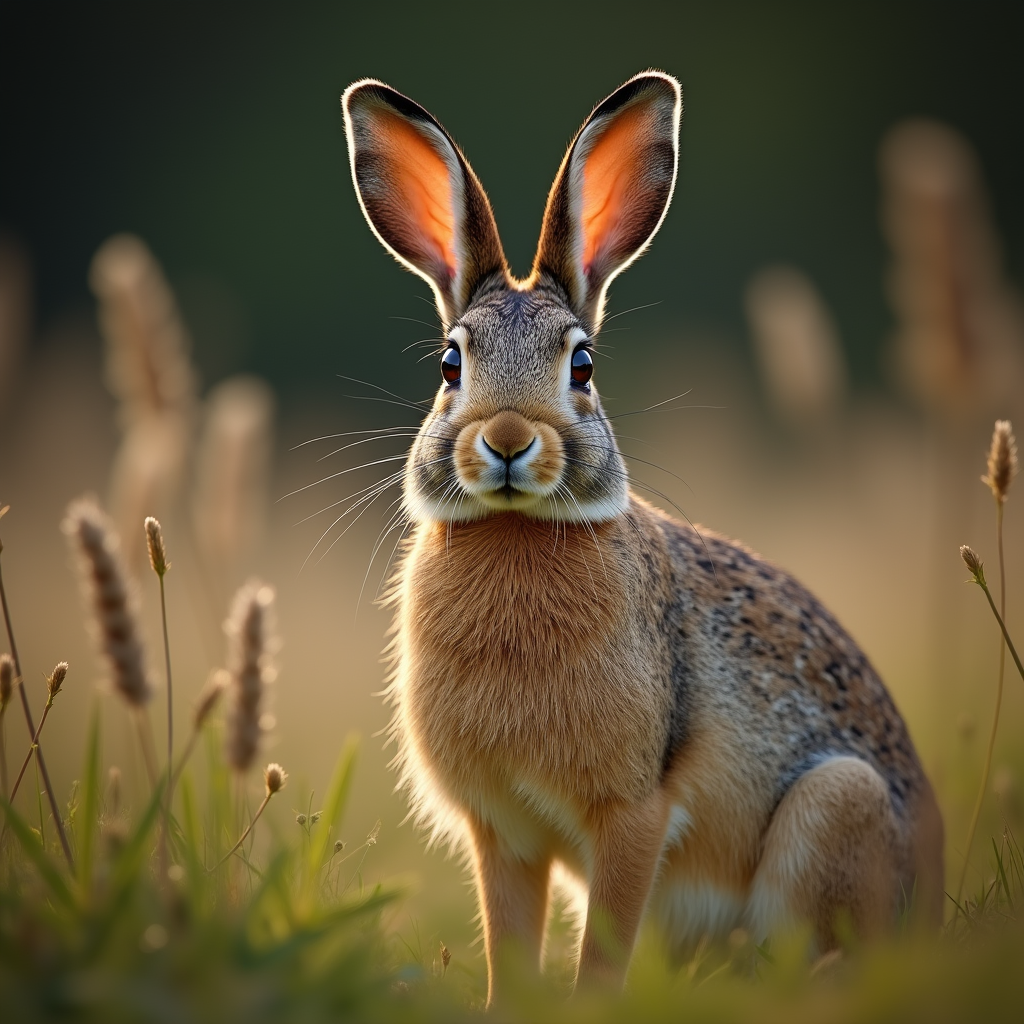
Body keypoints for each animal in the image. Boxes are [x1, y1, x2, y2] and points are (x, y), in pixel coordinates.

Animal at [340, 71, 944, 1004]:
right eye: (450, 364)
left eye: (582, 366)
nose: (508, 439)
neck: (519, 530)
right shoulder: (502, 831)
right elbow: (509, 943)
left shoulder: (632, 809)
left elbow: (605, 944)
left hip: (836, 808)